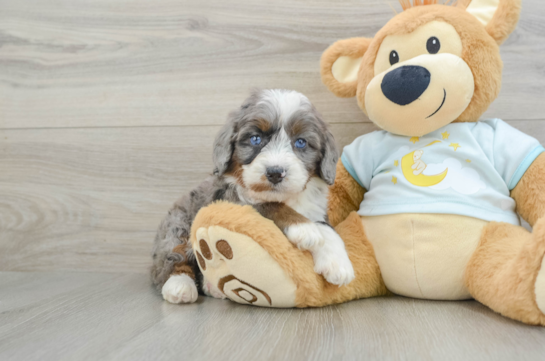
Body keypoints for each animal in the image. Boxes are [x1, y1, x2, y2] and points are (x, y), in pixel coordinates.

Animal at [151, 88, 354, 302]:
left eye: (300, 142)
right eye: (255, 139)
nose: (275, 172)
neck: (286, 197)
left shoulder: (316, 208)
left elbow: (328, 229)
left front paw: (339, 264)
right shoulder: (232, 201)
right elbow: (269, 205)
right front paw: (304, 228)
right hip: (177, 227)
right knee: (172, 258)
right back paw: (179, 285)